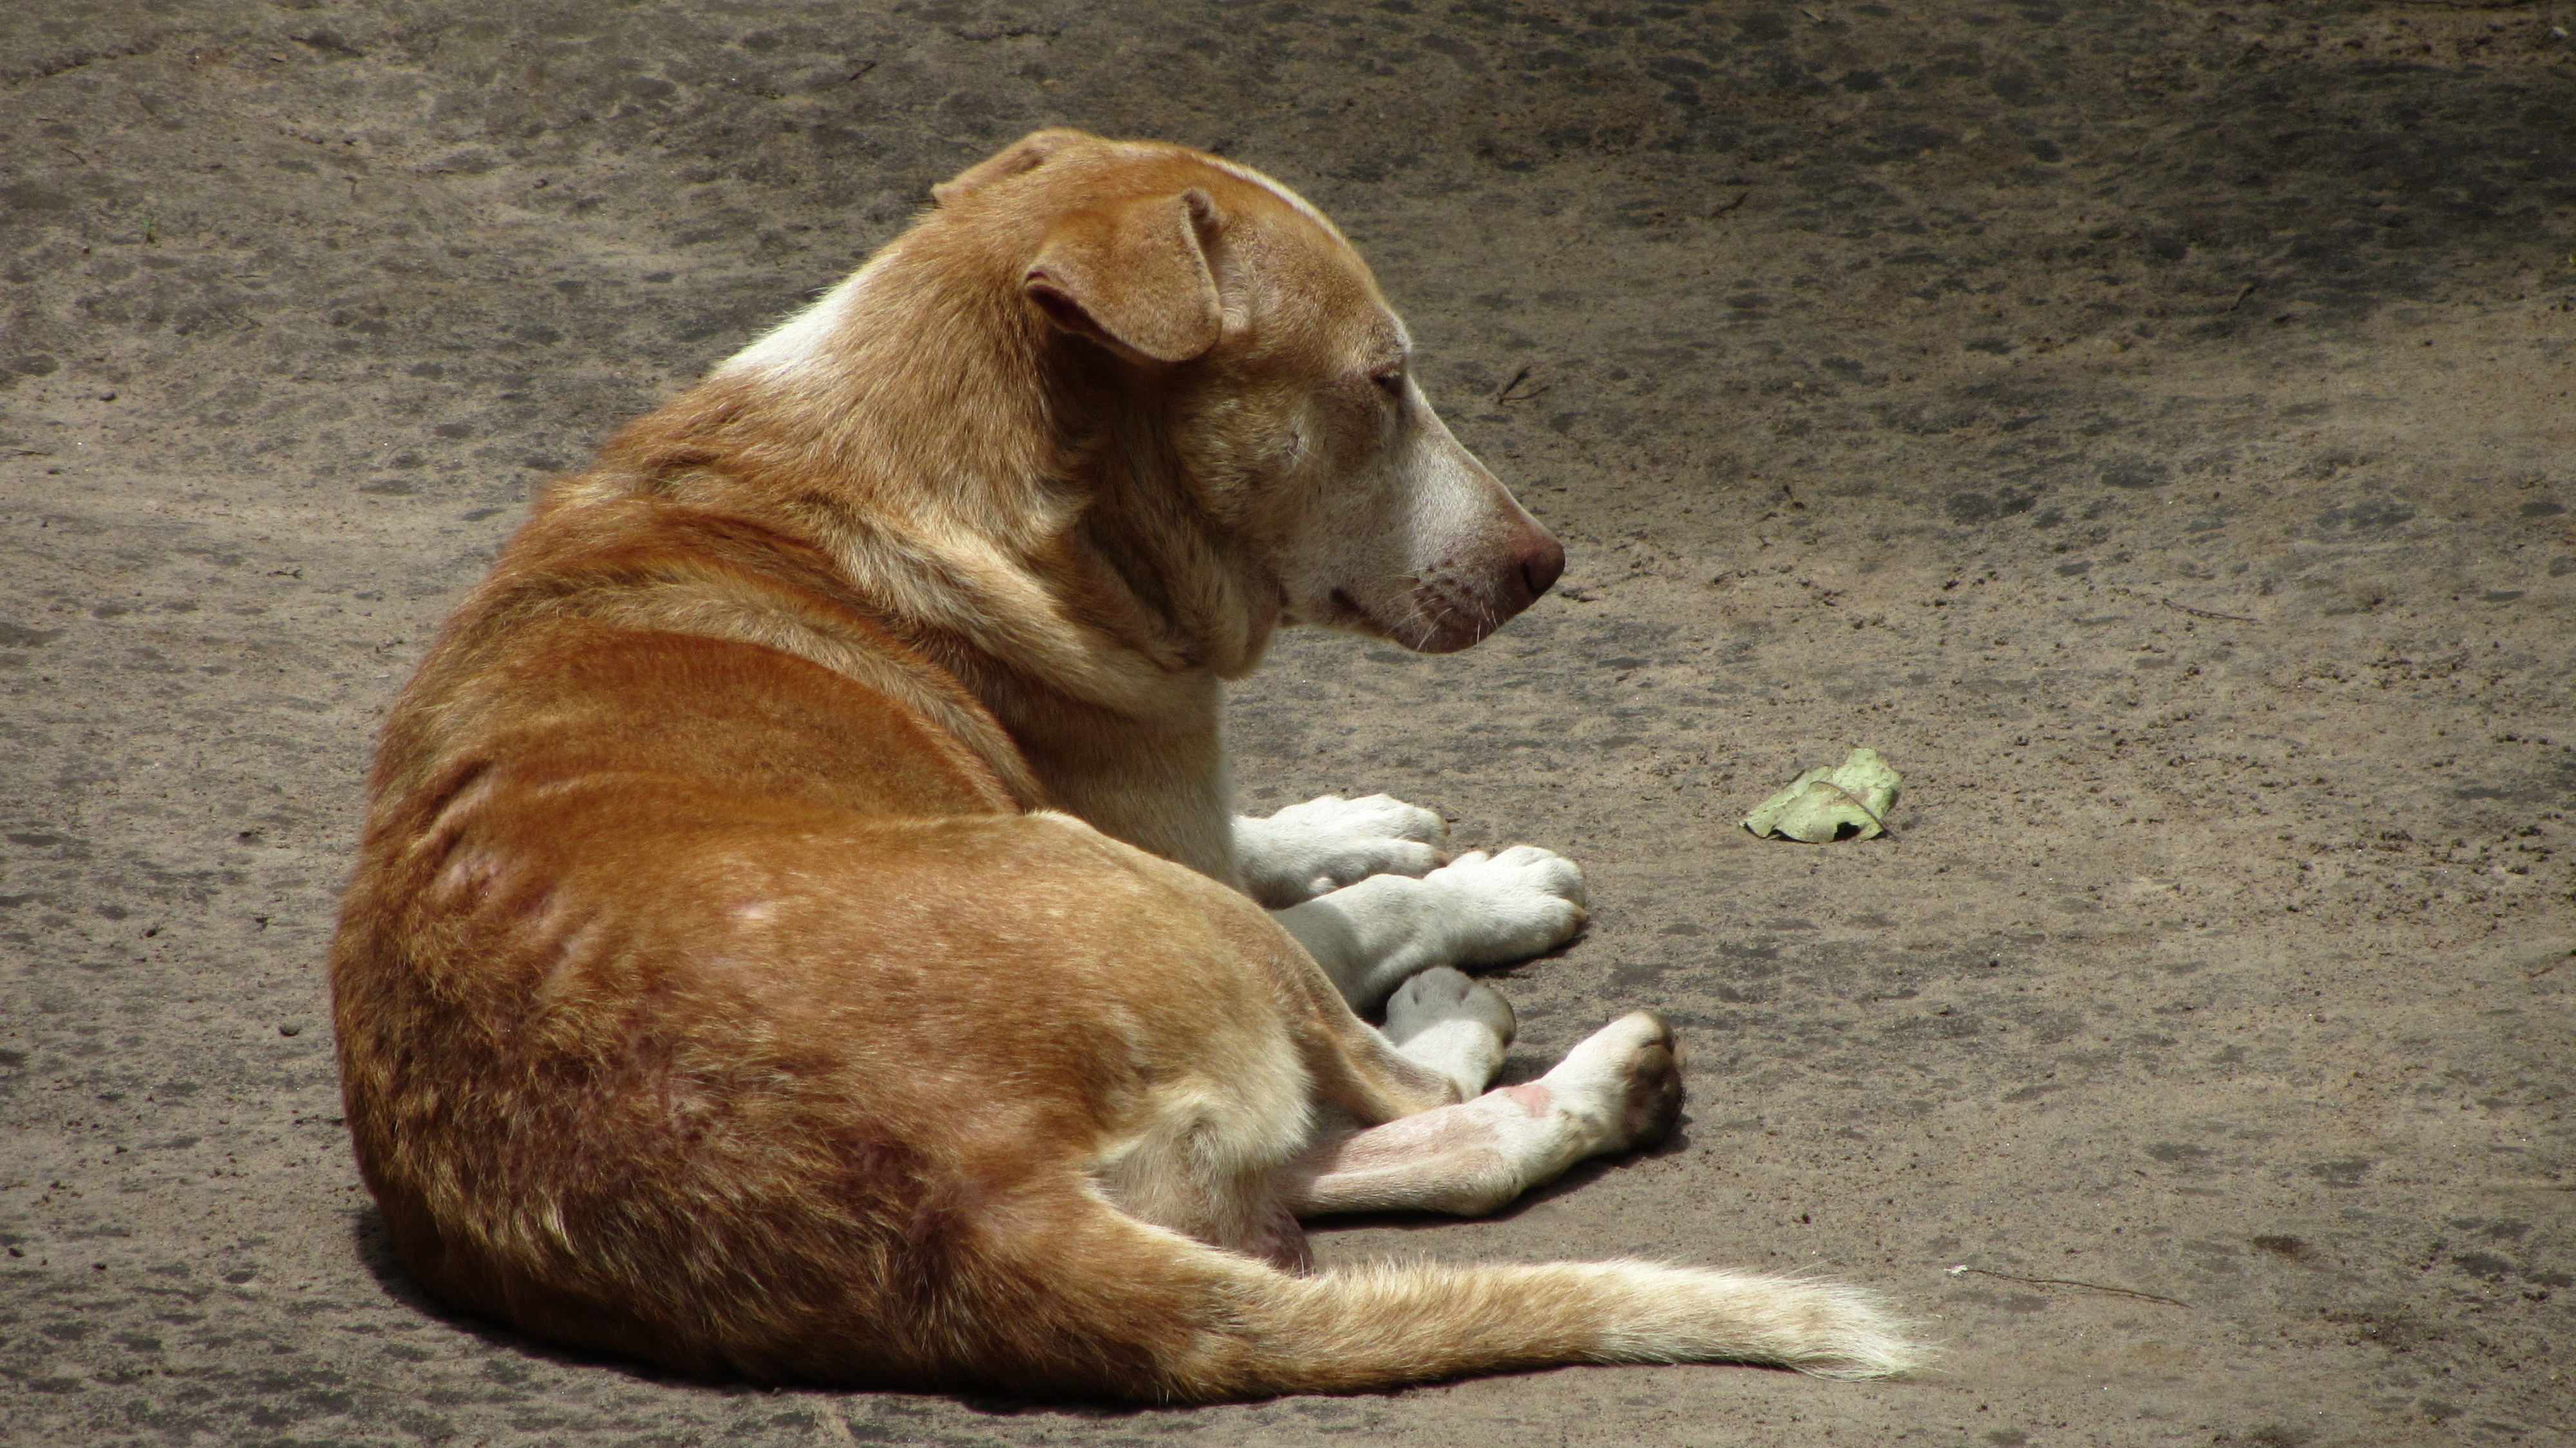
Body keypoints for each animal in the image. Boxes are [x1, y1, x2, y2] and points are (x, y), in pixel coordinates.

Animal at [332, 129, 1917, 1391]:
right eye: (1384, 382)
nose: (1548, 565)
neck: (959, 468)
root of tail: (969, 1208)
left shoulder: (1173, 818)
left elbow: (1275, 834)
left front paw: (1355, 814)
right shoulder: (1169, 849)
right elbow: (1363, 909)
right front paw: (1478, 887)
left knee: (1320, 1184)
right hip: (1138, 901)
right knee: (1410, 1094)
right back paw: (1522, 1038)